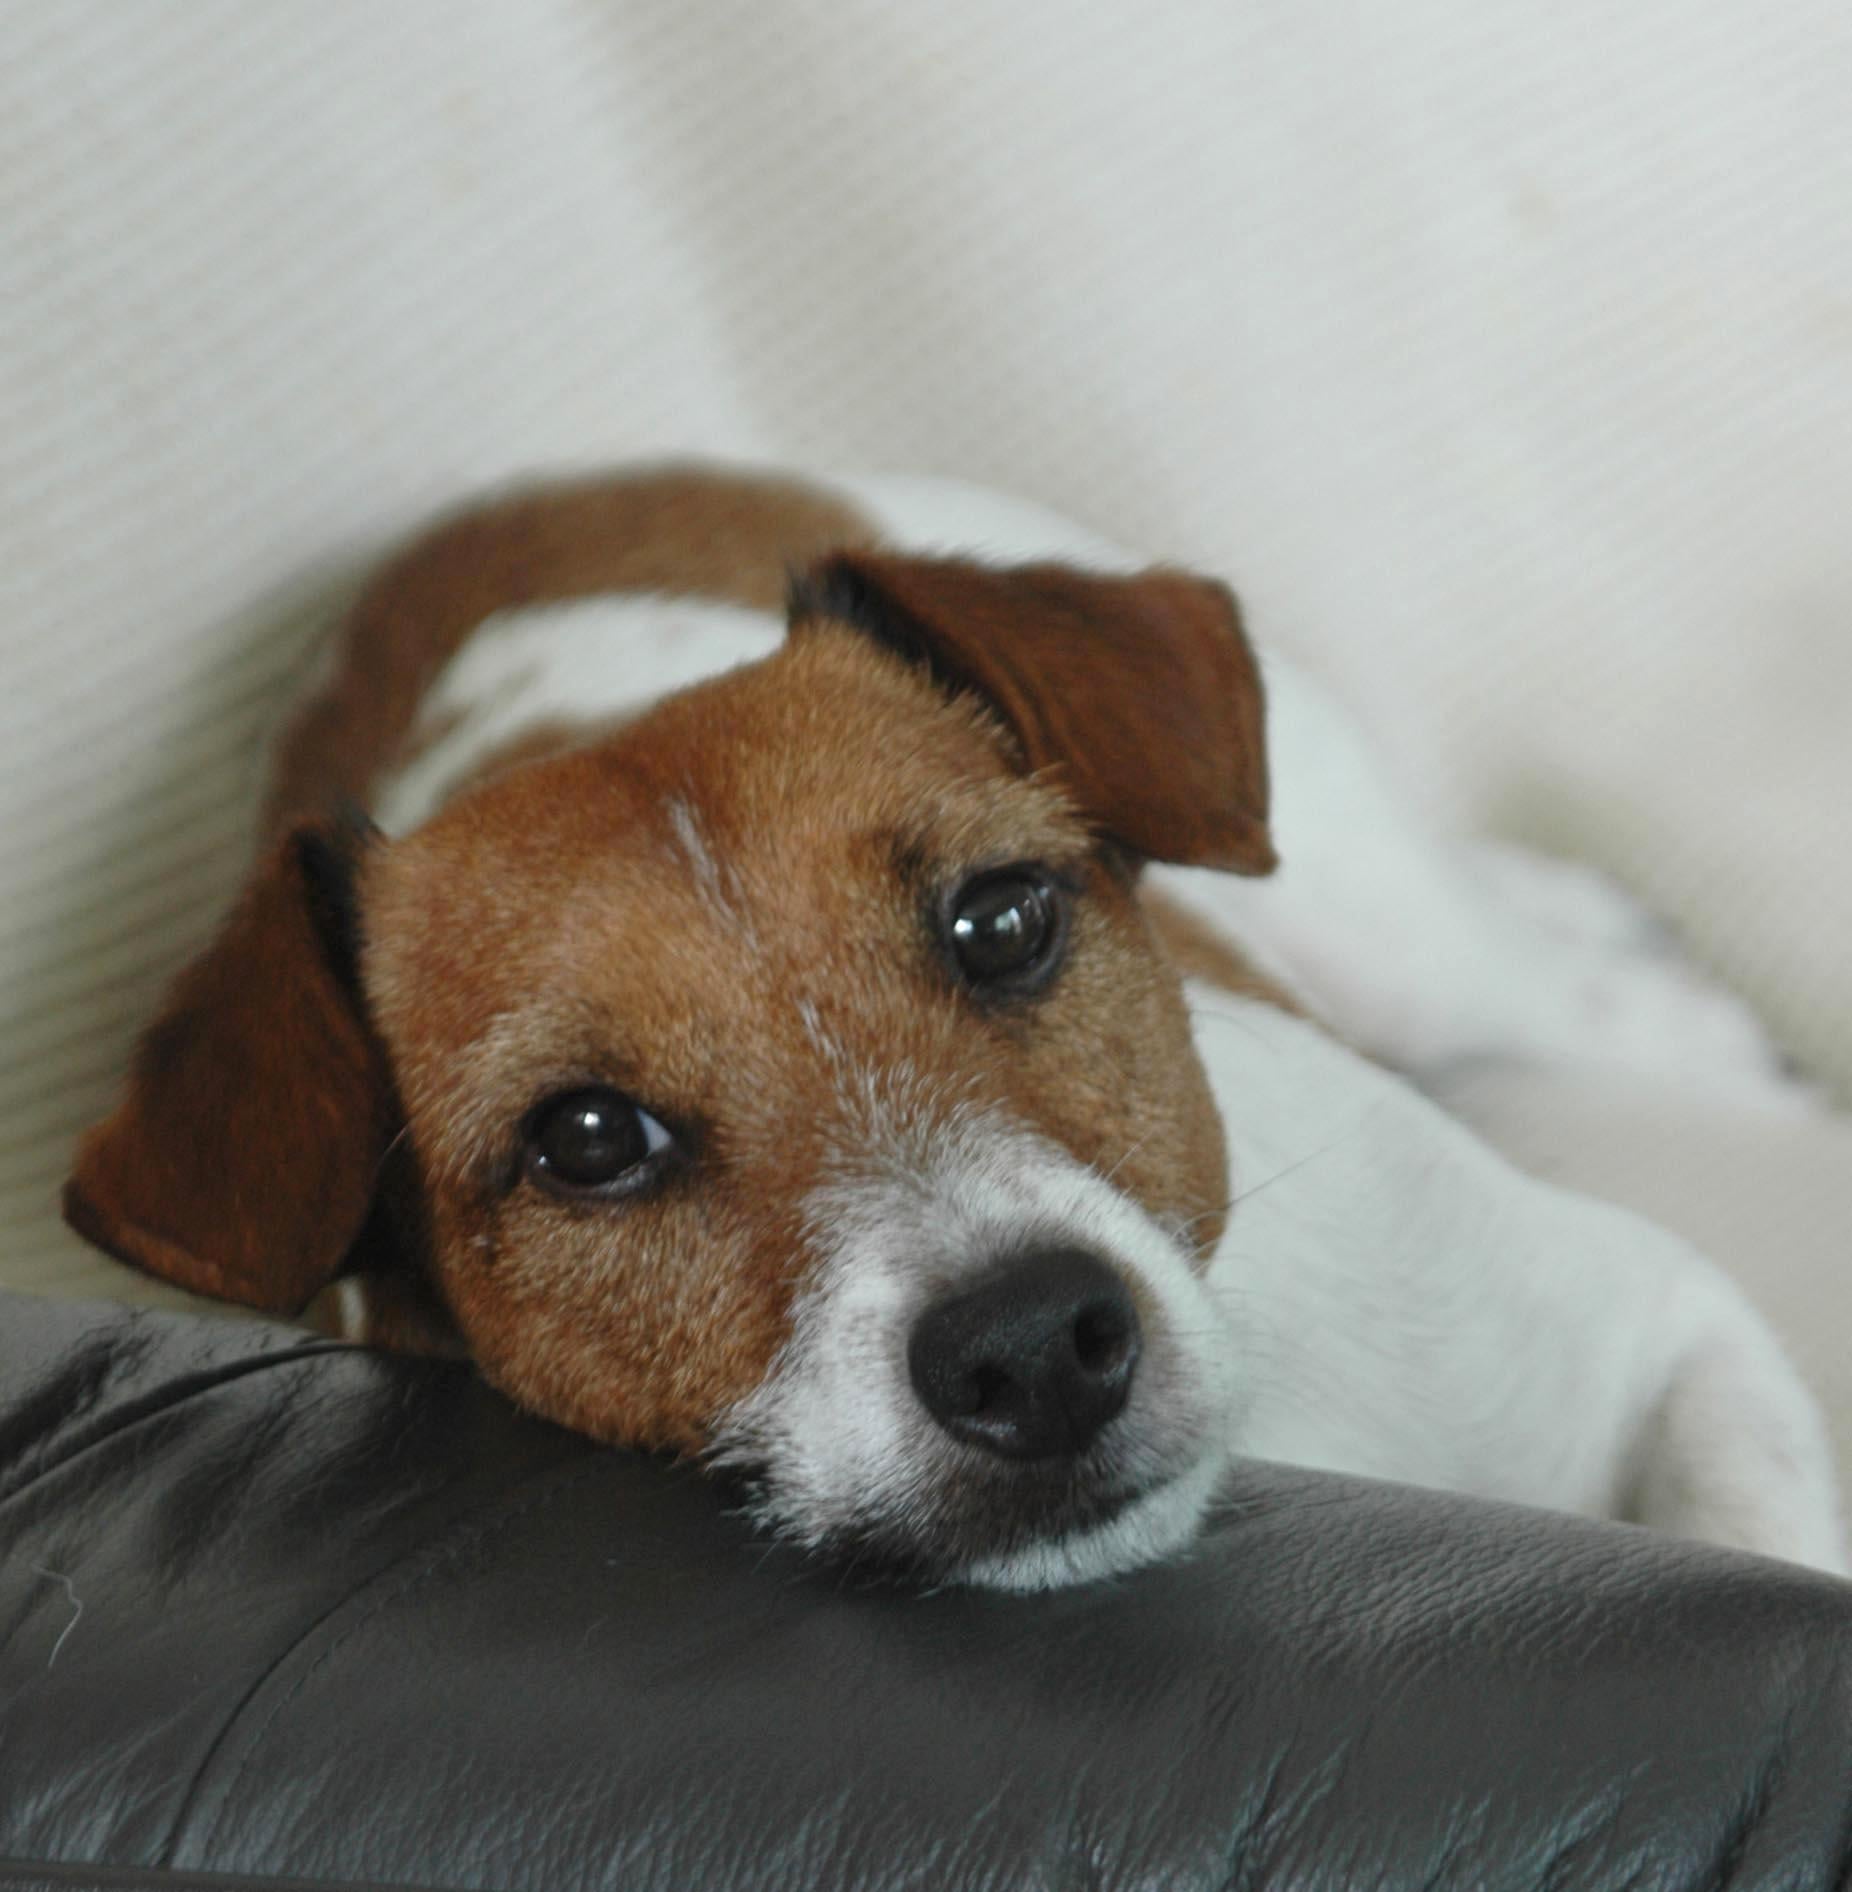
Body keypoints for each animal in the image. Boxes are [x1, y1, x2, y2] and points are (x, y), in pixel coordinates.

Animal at [65, 465, 1846, 1589]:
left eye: (1001, 920)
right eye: (584, 1137)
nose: (1034, 1347)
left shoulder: (1673, 1328)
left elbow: (1767, 1547)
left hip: (1380, 914)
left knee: (1508, 966)